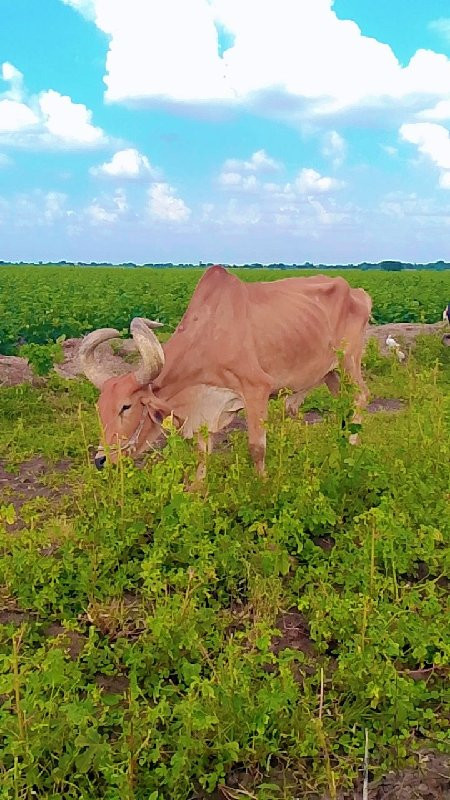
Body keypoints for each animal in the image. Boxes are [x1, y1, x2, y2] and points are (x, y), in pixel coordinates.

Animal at [79, 266, 370, 476]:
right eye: (99, 408)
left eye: (126, 407)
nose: (101, 460)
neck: (210, 335)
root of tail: (358, 293)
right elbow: (202, 453)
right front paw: (197, 492)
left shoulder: (257, 390)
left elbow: (257, 448)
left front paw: (263, 487)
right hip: (331, 374)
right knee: (343, 407)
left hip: (349, 363)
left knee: (361, 397)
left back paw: (351, 451)